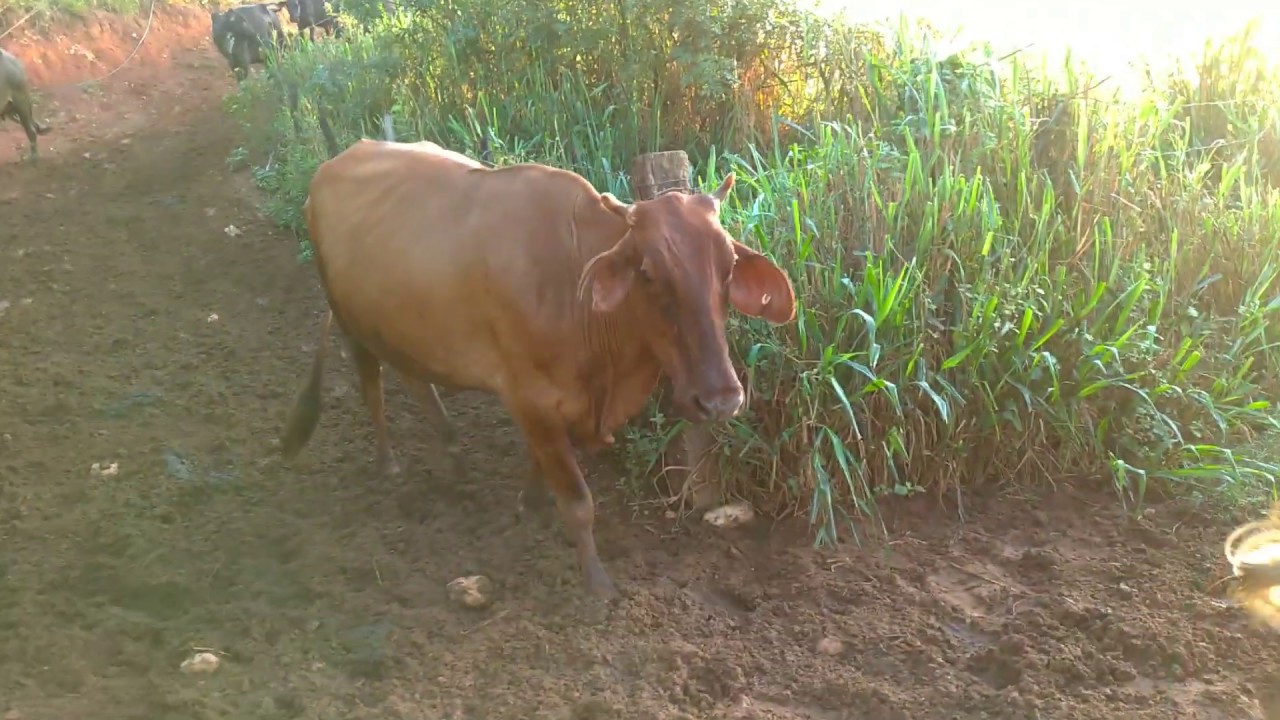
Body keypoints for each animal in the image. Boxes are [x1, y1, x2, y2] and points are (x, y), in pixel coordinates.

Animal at [279, 134, 797, 600]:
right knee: (372, 383)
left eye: (729, 267)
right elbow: (578, 501)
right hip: (349, 320)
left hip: (402, 325)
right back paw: (389, 465)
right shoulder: (529, 396)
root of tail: (338, 161)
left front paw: (531, 502)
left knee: (416, 380)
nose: (720, 399)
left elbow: (539, 461)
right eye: (648, 272)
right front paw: (597, 586)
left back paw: (453, 454)